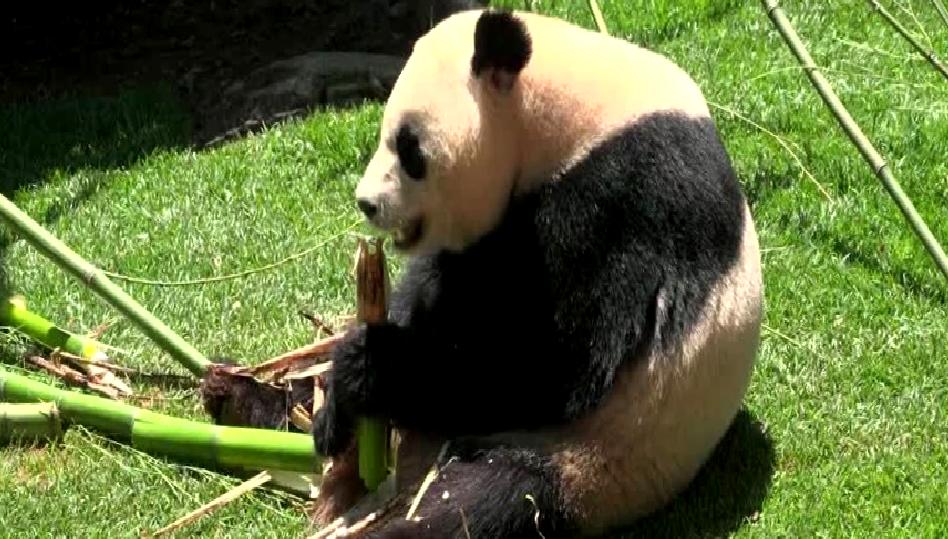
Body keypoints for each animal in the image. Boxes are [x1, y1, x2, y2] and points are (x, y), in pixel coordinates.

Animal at [313, 7, 764, 539]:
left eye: (409, 149)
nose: (367, 203)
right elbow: (442, 286)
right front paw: (334, 408)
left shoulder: (623, 197)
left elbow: (555, 366)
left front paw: (367, 363)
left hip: (588, 458)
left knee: (482, 502)